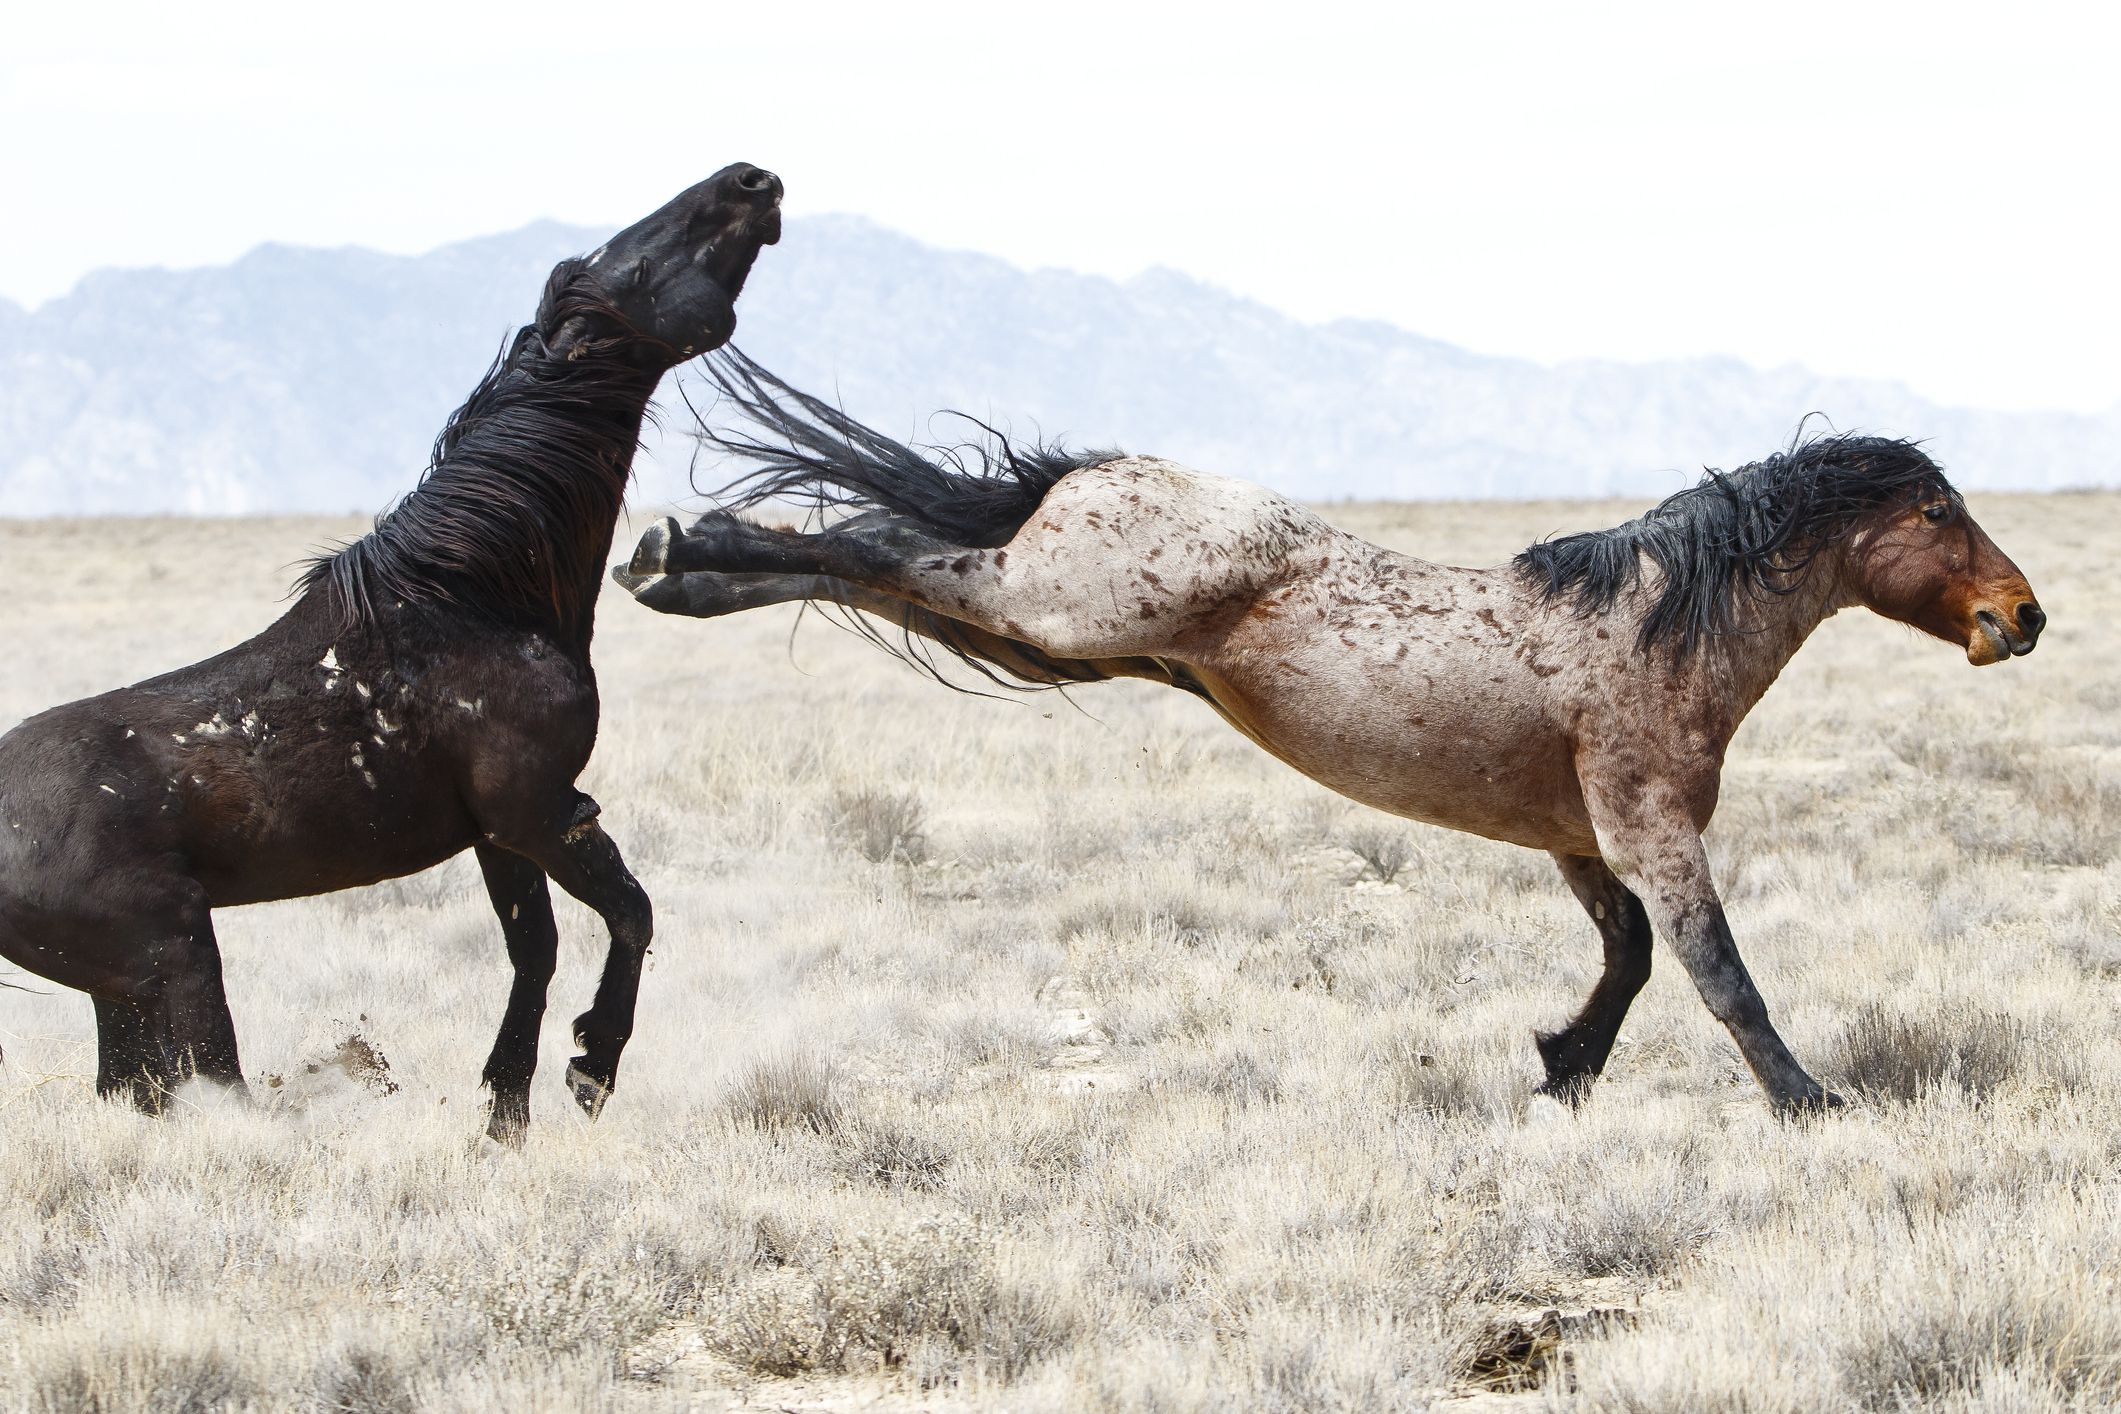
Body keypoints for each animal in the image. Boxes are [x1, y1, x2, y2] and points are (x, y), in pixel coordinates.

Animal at [0, 164, 783, 1143]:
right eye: (637, 263)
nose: (751, 180)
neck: (470, 600)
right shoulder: (540, 810)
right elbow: (630, 915)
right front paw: (591, 1068)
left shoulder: (499, 832)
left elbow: (534, 953)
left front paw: (505, 1114)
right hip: (175, 960)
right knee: (215, 1090)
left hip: (126, 993)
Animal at [615, 352, 2046, 1114]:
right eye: (1936, 509)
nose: (2022, 615)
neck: (1652, 627)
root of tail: (1103, 470)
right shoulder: (1651, 829)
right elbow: (1719, 972)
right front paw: (1811, 1104)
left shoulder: (1580, 838)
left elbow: (1633, 958)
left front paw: (1560, 1069)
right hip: (1056, 608)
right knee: (885, 548)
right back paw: (672, 545)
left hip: (1053, 637)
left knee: (875, 558)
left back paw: (675, 570)